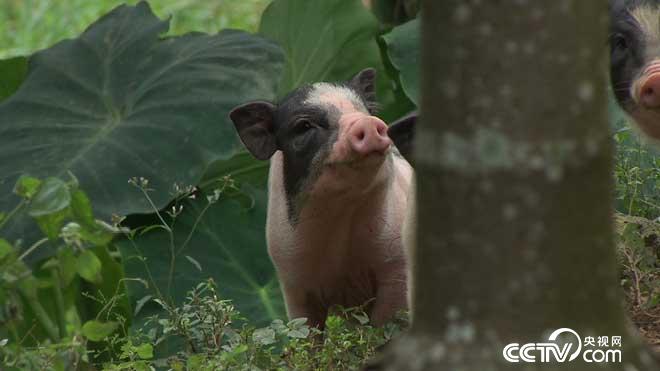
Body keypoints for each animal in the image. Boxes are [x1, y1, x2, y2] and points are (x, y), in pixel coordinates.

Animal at [229, 68, 416, 326]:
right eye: (304, 126)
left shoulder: (396, 265)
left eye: (365, 111)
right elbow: (306, 328)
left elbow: (385, 321)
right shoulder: (292, 281)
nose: (367, 122)